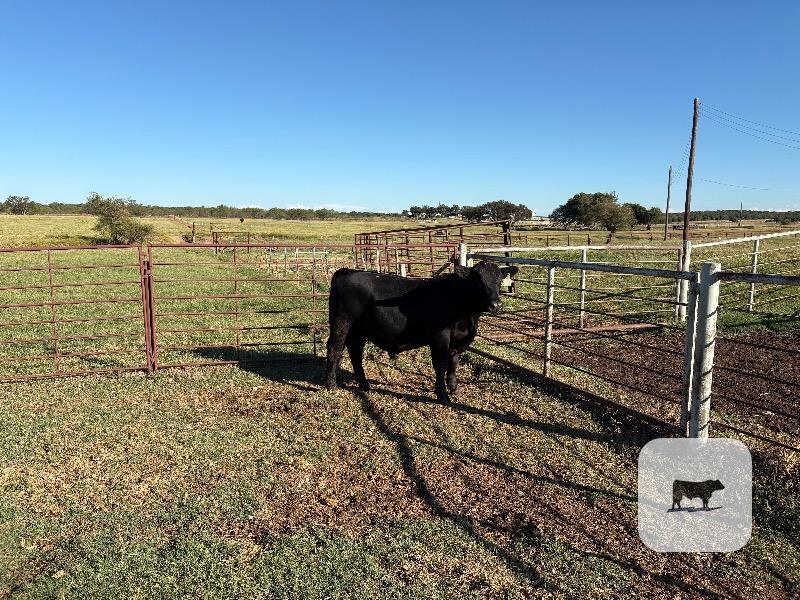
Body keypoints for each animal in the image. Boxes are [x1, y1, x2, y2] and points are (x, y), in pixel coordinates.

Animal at [324, 261, 517, 403]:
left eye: (500, 280)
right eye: (477, 281)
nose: (495, 305)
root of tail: (346, 271)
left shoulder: (459, 340)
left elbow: (454, 363)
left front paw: (454, 388)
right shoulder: (440, 337)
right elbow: (440, 365)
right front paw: (443, 396)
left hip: (359, 330)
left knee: (355, 351)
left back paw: (364, 384)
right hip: (342, 322)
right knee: (334, 349)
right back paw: (331, 384)